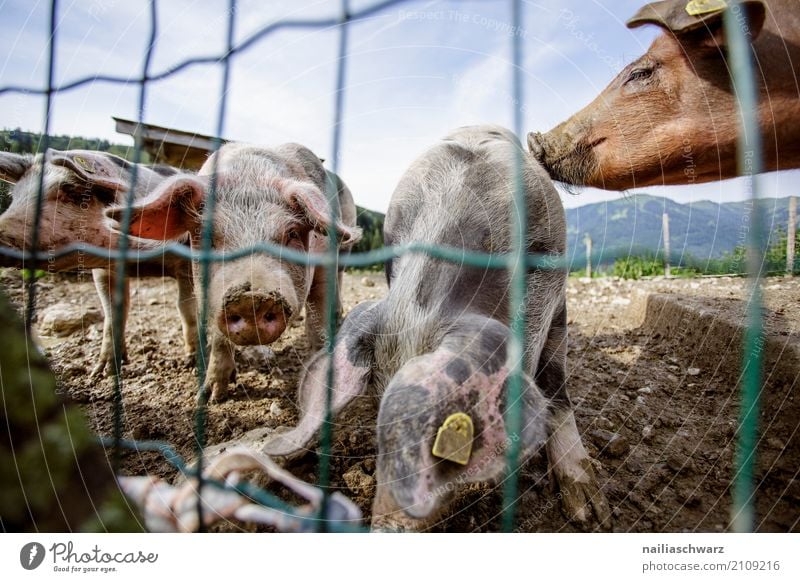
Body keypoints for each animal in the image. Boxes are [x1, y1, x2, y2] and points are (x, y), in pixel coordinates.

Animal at [0, 151, 198, 378]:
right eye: (15, 196)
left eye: (71, 192)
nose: (1, 237)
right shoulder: (105, 270)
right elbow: (113, 312)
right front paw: (103, 372)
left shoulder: (187, 263)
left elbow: (186, 308)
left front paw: (192, 362)